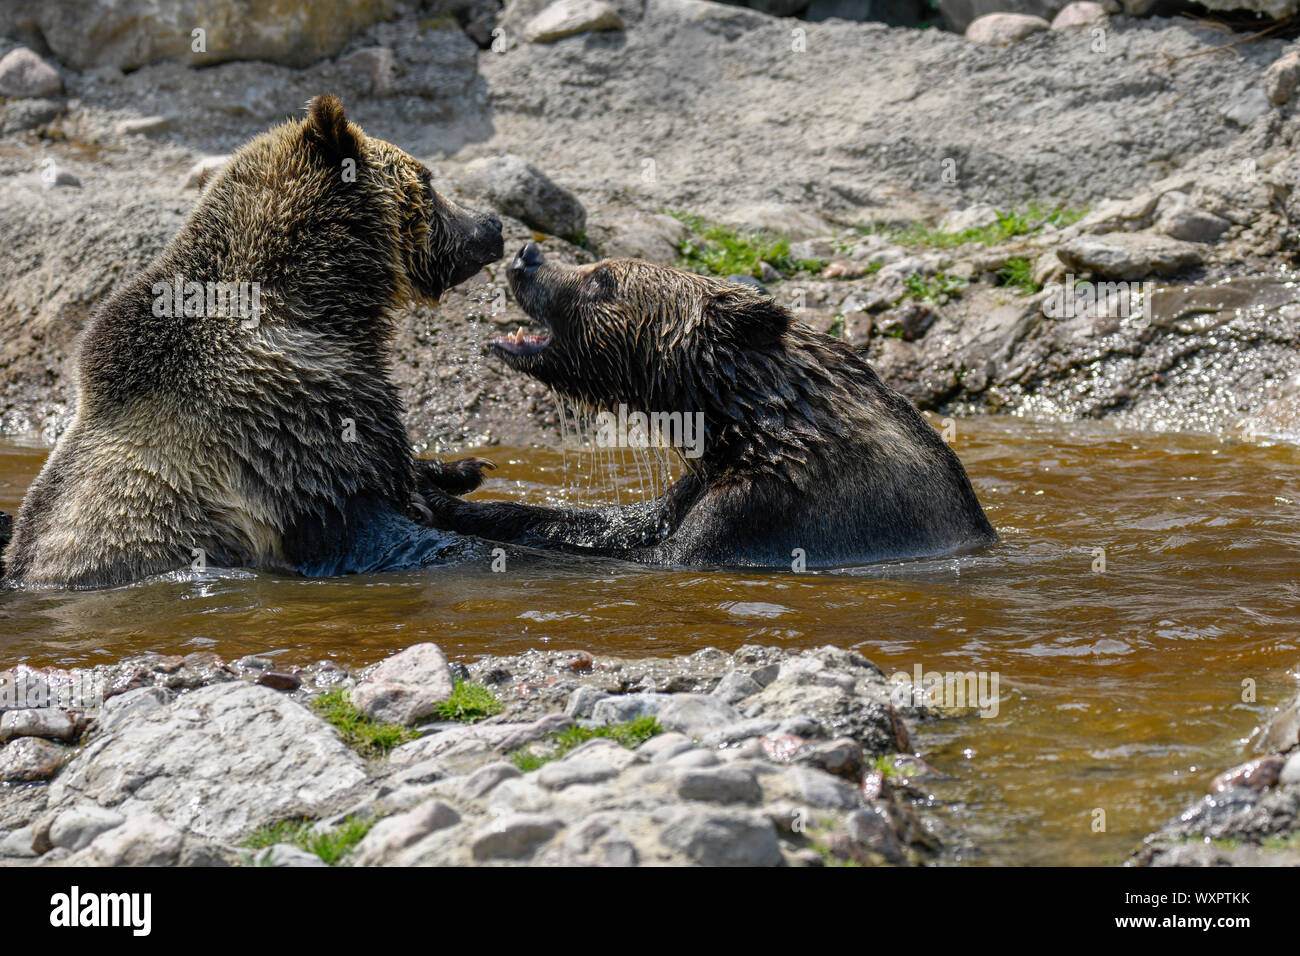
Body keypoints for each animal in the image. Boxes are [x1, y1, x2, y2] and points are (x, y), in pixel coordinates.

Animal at [2, 97, 501, 590]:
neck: (322, 309)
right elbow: (370, 522)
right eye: (429, 181)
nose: (491, 225)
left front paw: (461, 468)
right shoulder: (293, 429)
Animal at [416, 243, 993, 567]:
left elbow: (658, 555)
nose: (526, 257)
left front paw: (436, 497)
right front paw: (452, 483)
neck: (748, 423)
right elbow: (613, 523)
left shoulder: (772, 509)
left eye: (603, 278)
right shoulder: (700, 481)